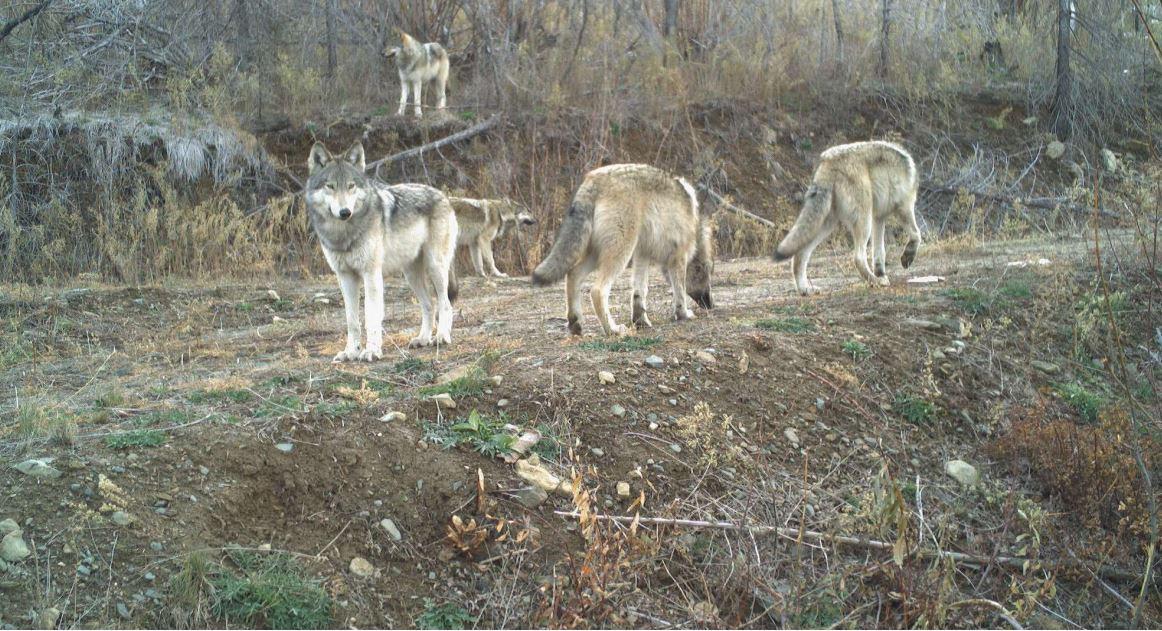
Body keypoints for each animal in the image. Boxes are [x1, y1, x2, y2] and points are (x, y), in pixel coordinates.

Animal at [304, 141, 457, 360]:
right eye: (330, 186)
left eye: (351, 186)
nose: (345, 212)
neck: (343, 233)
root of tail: (442, 195)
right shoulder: (345, 277)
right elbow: (352, 320)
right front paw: (350, 352)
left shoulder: (371, 274)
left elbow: (371, 316)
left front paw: (372, 351)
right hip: (411, 275)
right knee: (429, 305)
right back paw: (423, 339)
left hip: (436, 267)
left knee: (445, 304)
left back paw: (442, 337)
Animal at [532, 165, 711, 339]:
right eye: (705, 272)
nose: (710, 304)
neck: (694, 226)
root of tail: (593, 180)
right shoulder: (678, 256)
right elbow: (679, 291)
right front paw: (684, 314)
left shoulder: (642, 254)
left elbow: (640, 292)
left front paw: (641, 321)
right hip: (620, 254)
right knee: (597, 290)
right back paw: (613, 330)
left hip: (597, 255)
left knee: (572, 275)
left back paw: (576, 324)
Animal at [766, 140, 920, 294]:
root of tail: (828, 160)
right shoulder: (904, 207)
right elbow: (916, 234)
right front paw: (906, 258)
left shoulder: (879, 218)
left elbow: (879, 252)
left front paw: (881, 273)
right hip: (863, 221)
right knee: (858, 257)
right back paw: (874, 281)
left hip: (826, 225)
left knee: (799, 255)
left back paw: (805, 289)